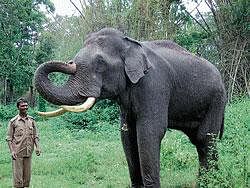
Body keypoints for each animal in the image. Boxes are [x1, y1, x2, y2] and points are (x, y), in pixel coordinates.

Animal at [33, 27, 227, 188]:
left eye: (100, 62)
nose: (69, 62)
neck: (130, 43)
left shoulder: (154, 85)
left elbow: (149, 131)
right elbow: (127, 134)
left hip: (216, 100)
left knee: (204, 138)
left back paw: (210, 183)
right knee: (199, 140)